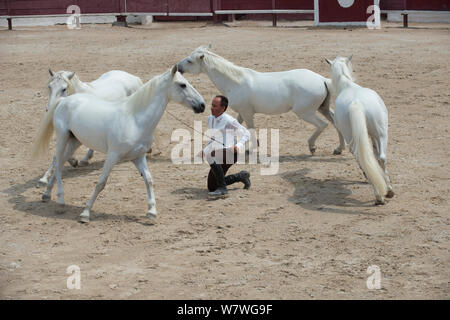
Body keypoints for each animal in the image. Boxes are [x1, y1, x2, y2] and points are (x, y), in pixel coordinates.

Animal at [33, 65, 206, 222]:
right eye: (182, 85)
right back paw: (60, 200)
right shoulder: (112, 156)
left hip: (74, 141)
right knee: (58, 165)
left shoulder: (138, 157)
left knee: (60, 162)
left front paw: (151, 212)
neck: (135, 120)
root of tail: (64, 100)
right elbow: (101, 183)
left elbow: (149, 180)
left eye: (186, 82)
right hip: (62, 138)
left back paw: (47, 194)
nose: (202, 105)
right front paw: (85, 213)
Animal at [176, 45, 344, 155]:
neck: (235, 82)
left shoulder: (247, 113)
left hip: (305, 112)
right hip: (323, 108)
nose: (177, 67)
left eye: (190, 61)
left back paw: (312, 147)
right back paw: (338, 149)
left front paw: (251, 149)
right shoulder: (242, 113)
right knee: (336, 124)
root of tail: (322, 79)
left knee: (322, 125)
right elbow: (238, 127)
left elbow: (250, 129)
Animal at [326, 55, 394, 205]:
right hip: (382, 134)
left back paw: (380, 194)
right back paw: (386, 192)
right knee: (381, 158)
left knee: (369, 158)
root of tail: (356, 103)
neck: (348, 86)